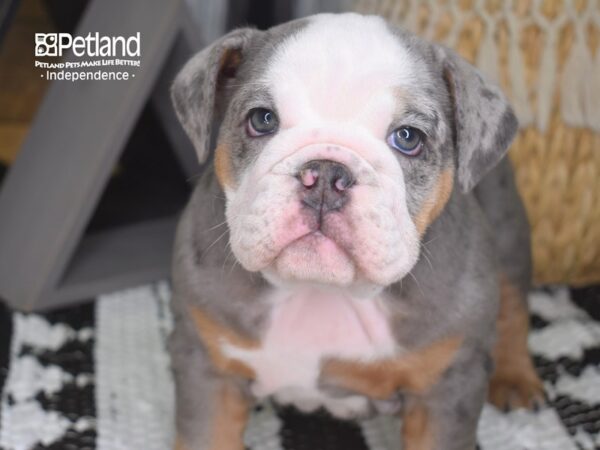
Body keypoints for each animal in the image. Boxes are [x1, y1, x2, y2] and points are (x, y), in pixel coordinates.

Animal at [169, 13, 544, 450]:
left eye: (408, 138)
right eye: (262, 120)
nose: (326, 174)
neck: (324, 292)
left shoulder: (447, 389)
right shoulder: (207, 369)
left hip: (508, 226)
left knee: (514, 303)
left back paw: (516, 378)